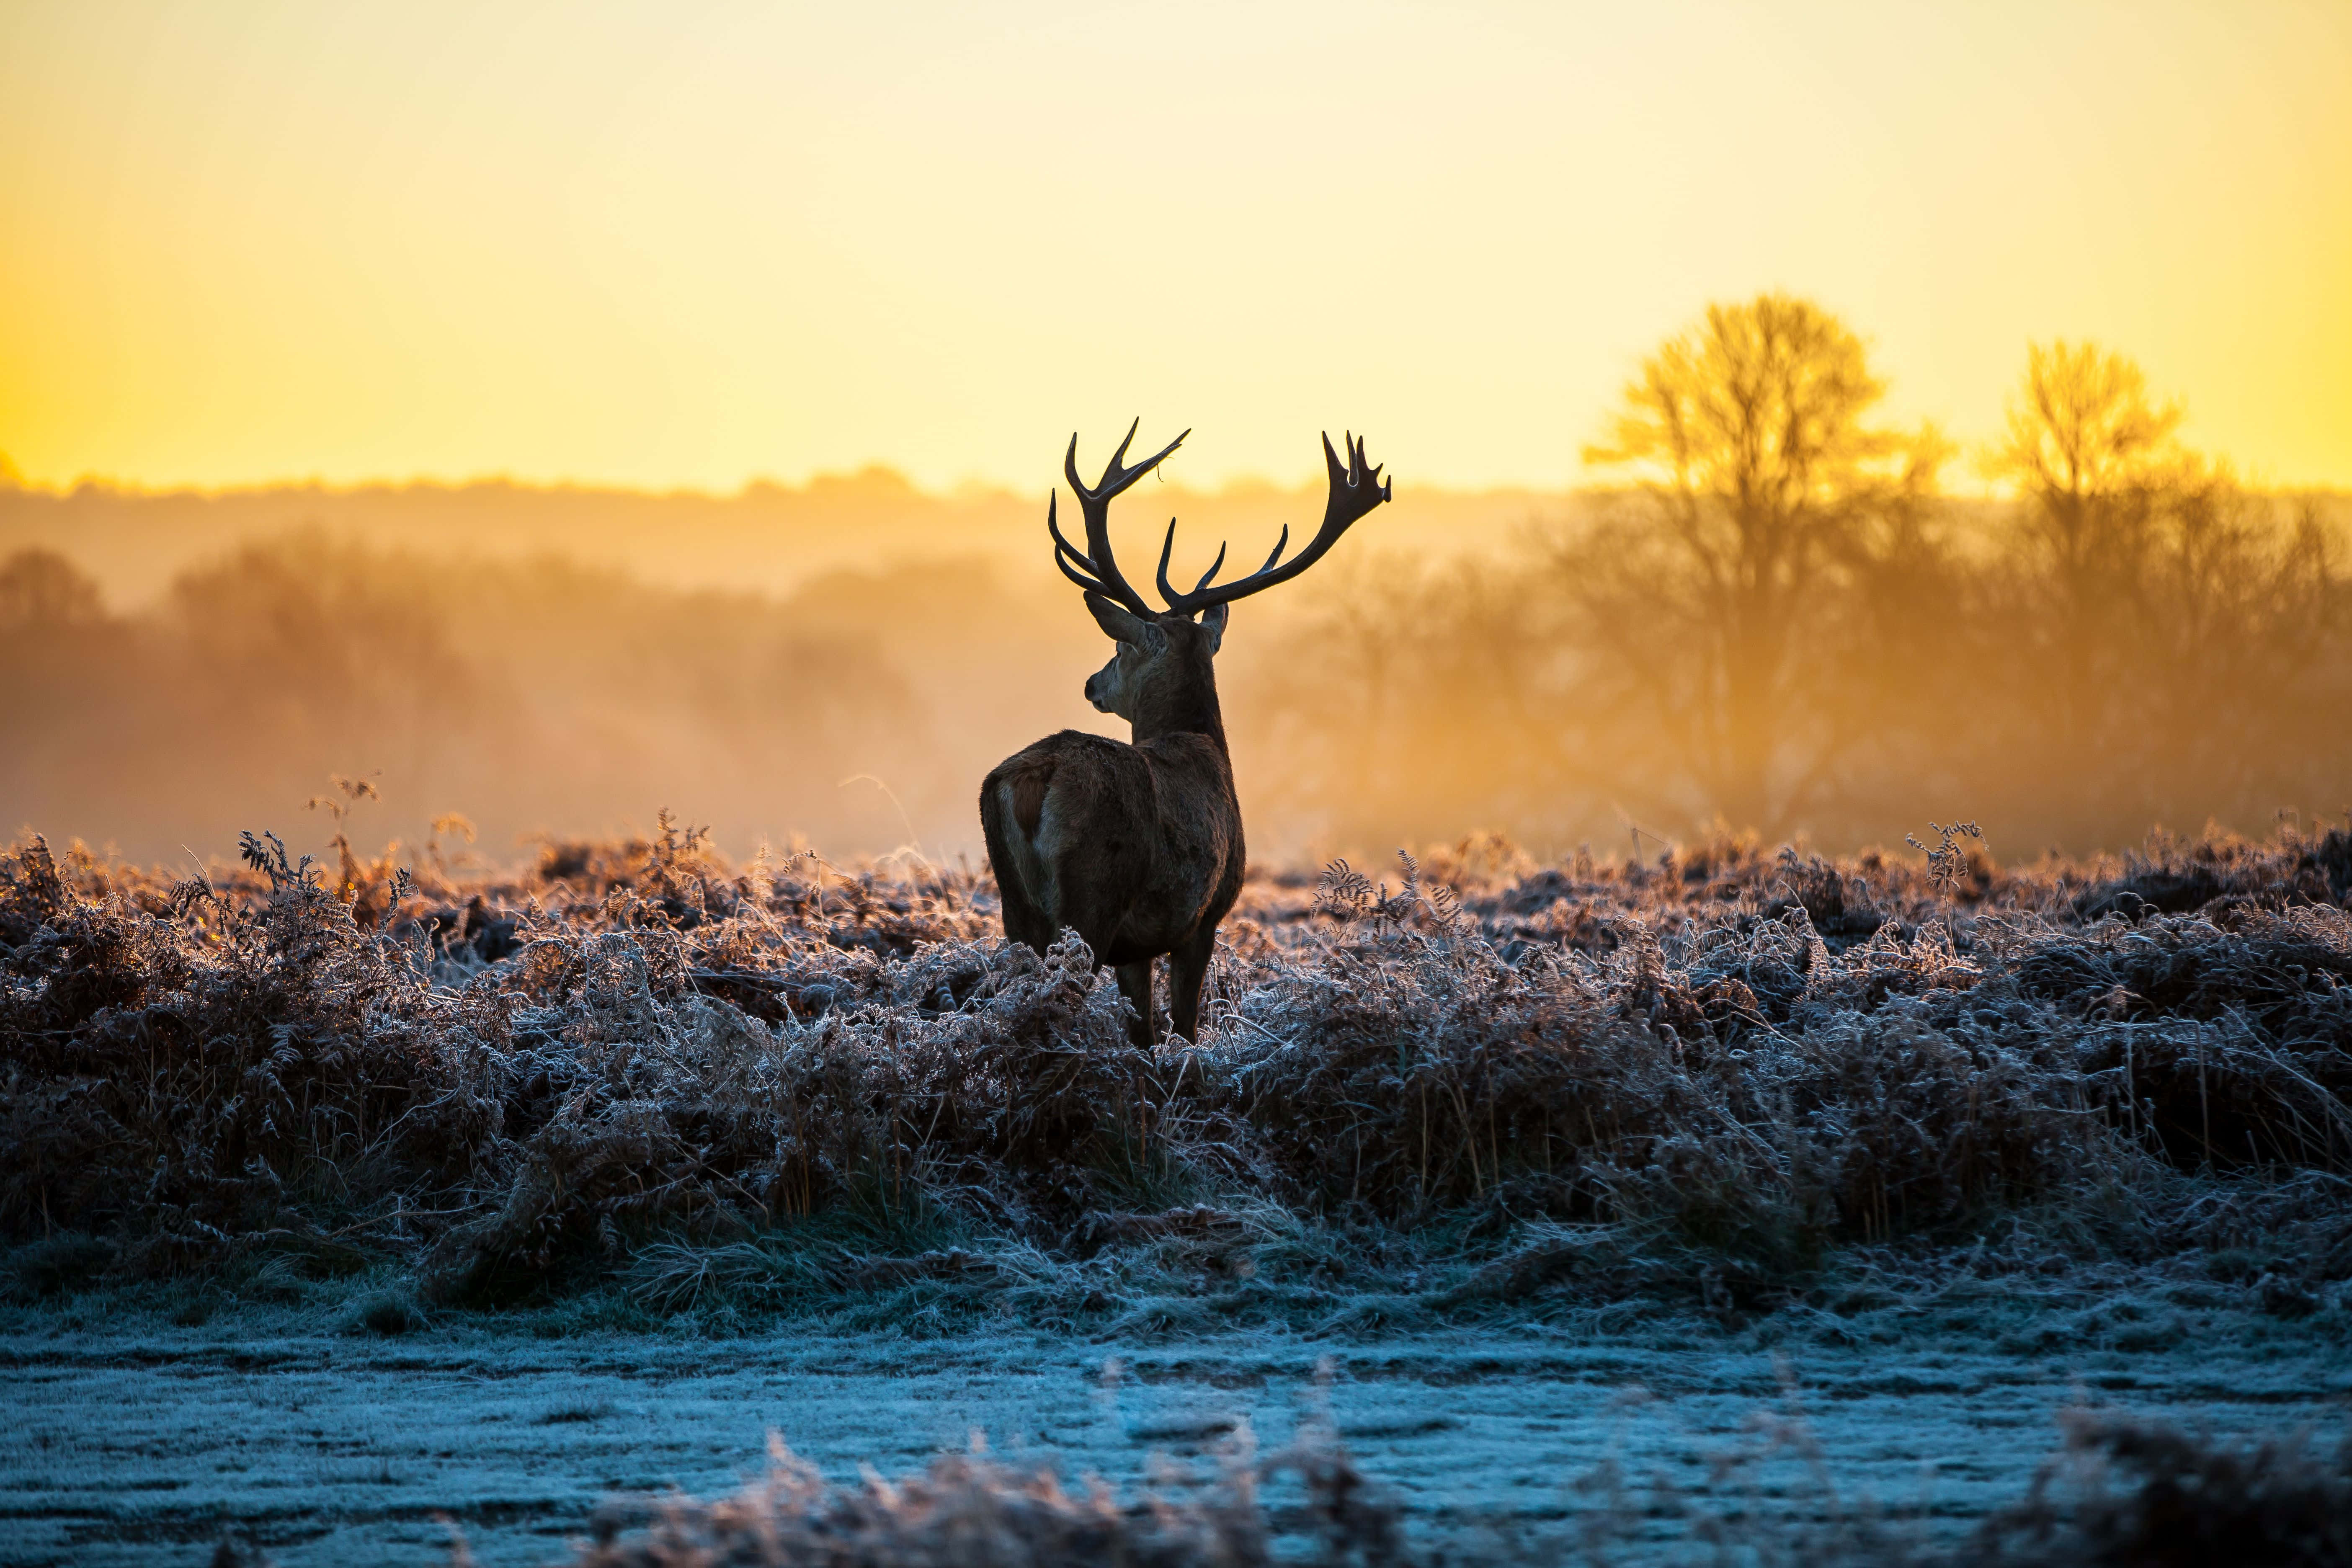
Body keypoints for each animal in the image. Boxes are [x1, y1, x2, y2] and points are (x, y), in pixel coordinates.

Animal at [980, 421, 1391, 1049]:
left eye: (1119, 646)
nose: (1092, 683)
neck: (1204, 746)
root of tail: (1034, 779)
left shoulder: (1139, 945)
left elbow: (1144, 1031)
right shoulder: (1204, 916)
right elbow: (1186, 1028)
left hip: (1016, 908)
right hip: (1093, 897)